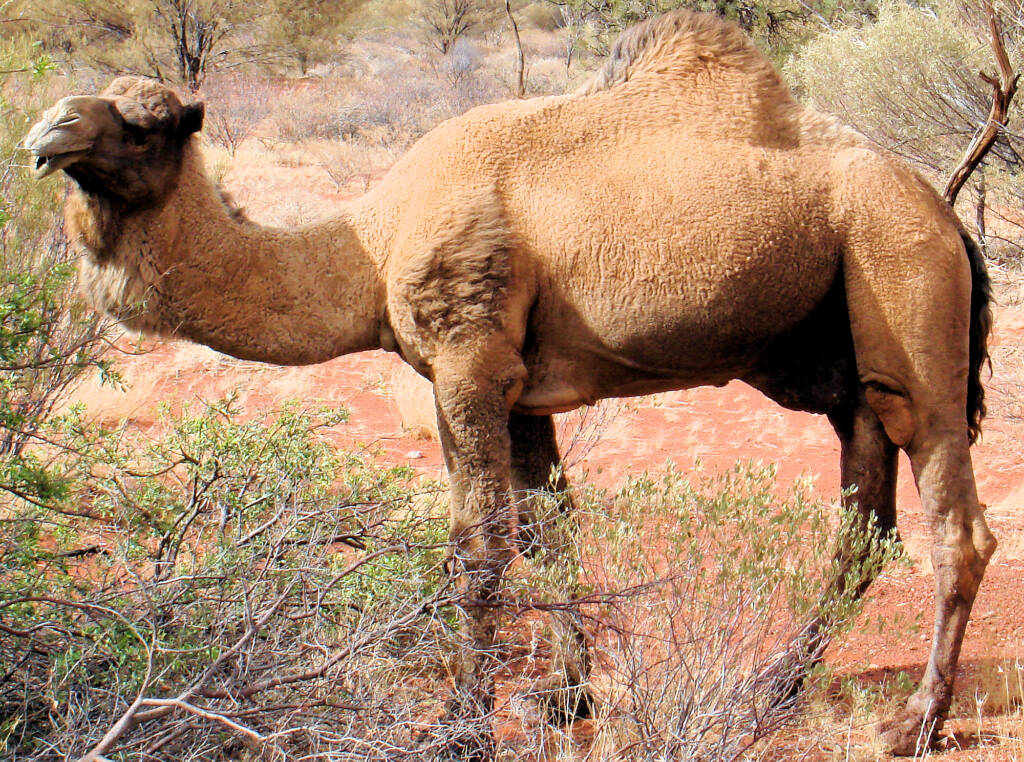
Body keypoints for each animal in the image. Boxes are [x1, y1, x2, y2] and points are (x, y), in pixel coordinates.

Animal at [25, 10, 995, 756]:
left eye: (149, 123)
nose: (47, 131)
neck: (370, 245)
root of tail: (941, 207)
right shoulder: (513, 386)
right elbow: (549, 527)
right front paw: (568, 695)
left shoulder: (471, 357)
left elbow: (480, 547)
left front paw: (461, 726)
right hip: (841, 352)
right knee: (862, 525)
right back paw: (772, 689)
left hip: (900, 271)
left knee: (952, 511)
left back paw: (913, 723)